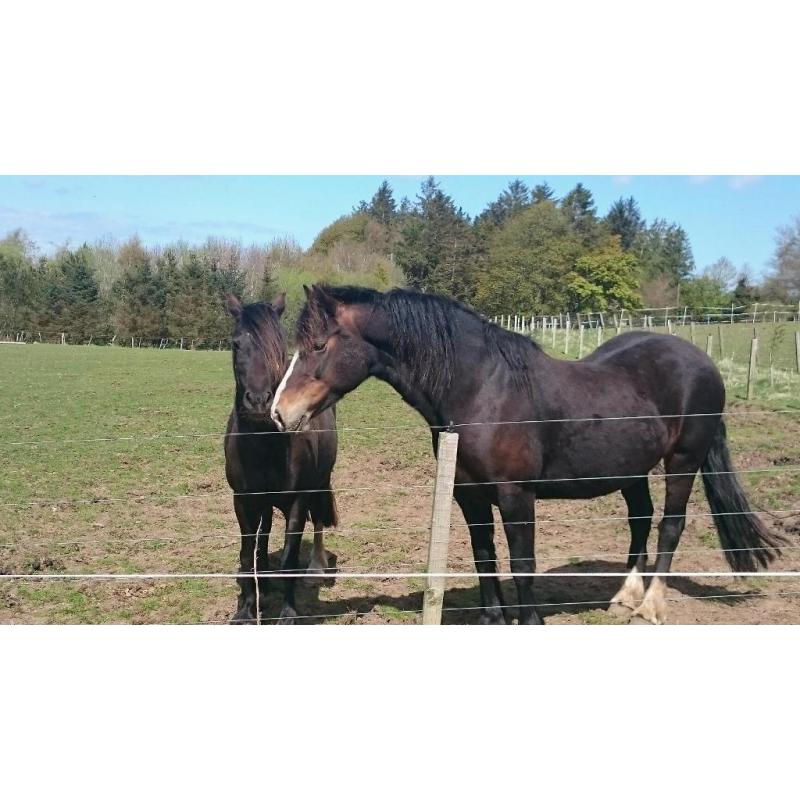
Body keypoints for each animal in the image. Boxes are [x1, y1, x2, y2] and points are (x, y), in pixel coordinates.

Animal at [224, 292, 338, 624]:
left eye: (278, 345)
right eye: (236, 344)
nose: (259, 402)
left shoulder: (298, 500)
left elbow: (289, 557)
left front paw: (288, 612)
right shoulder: (243, 500)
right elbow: (247, 553)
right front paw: (245, 609)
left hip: (319, 482)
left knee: (317, 520)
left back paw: (314, 569)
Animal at [271, 284, 784, 624]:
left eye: (318, 345)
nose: (279, 412)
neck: (482, 390)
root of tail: (702, 361)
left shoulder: (517, 495)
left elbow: (522, 563)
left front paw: (529, 619)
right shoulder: (468, 496)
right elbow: (484, 557)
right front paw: (492, 619)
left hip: (683, 462)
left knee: (670, 526)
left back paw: (650, 606)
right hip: (632, 471)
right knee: (640, 520)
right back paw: (624, 595)